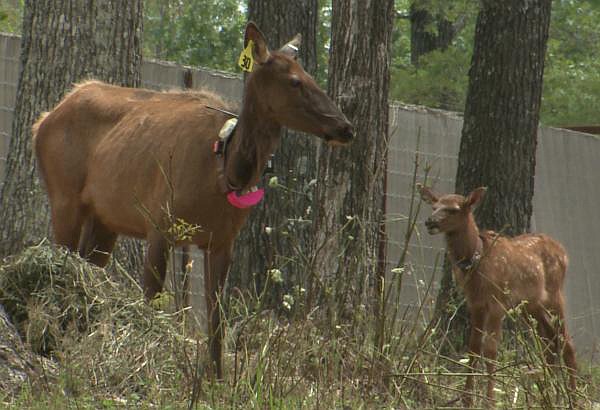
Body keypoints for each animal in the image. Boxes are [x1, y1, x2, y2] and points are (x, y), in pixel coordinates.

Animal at [34, 22, 352, 378]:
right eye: (295, 81)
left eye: (311, 76)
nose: (346, 127)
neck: (223, 171)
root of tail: (42, 121)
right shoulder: (159, 224)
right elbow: (152, 301)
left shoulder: (222, 241)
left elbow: (216, 320)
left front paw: (216, 378)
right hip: (64, 197)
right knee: (60, 264)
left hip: (104, 219)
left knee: (85, 266)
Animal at [418, 184, 576, 406]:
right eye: (434, 206)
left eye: (454, 209)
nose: (430, 221)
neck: (477, 262)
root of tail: (564, 252)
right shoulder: (475, 304)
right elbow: (474, 347)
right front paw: (467, 399)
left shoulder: (497, 302)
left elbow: (491, 350)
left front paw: (489, 400)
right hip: (530, 305)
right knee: (550, 342)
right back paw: (547, 396)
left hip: (555, 294)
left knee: (567, 342)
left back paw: (573, 399)